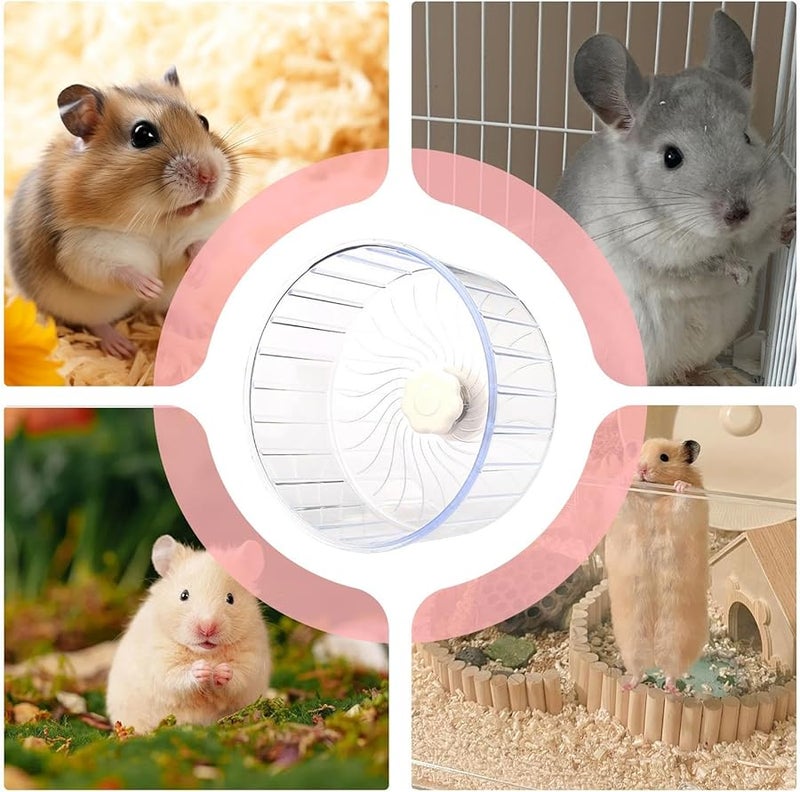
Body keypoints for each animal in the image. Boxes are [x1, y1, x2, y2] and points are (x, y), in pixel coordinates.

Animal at [7, 68, 240, 359]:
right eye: (143, 135)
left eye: (204, 121)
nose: (210, 175)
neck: (160, 221)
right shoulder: (84, 248)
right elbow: (118, 270)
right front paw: (151, 286)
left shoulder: (205, 226)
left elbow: (198, 244)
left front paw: (198, 269)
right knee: (97, 323)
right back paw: (122, 348)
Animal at [106, 535, 271, 733]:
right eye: (184, 595)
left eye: (230, 598)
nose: (207, 628)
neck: (206, 653)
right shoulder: (160, 659)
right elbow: (176, 676)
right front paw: (202, 669)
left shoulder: (251, 658)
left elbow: (239, 676)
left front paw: (221, 671)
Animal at [554, 11, 794, 385]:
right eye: (671, 157)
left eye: (746, 137)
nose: (739, 212)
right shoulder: (652, 254)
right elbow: (698, 267)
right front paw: (737, 270)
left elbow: (762, 245)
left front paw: (789, 224)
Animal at [604, 438, 709, 693]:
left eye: (664, 458)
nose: (641, 469)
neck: (652, 497)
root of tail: (653, 651)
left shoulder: (693, 506)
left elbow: (685, 498)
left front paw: (681, 485)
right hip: (631, 637)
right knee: (639, 669)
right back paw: (629, 686)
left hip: (677, 635)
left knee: (672, 669)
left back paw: (671, 690)